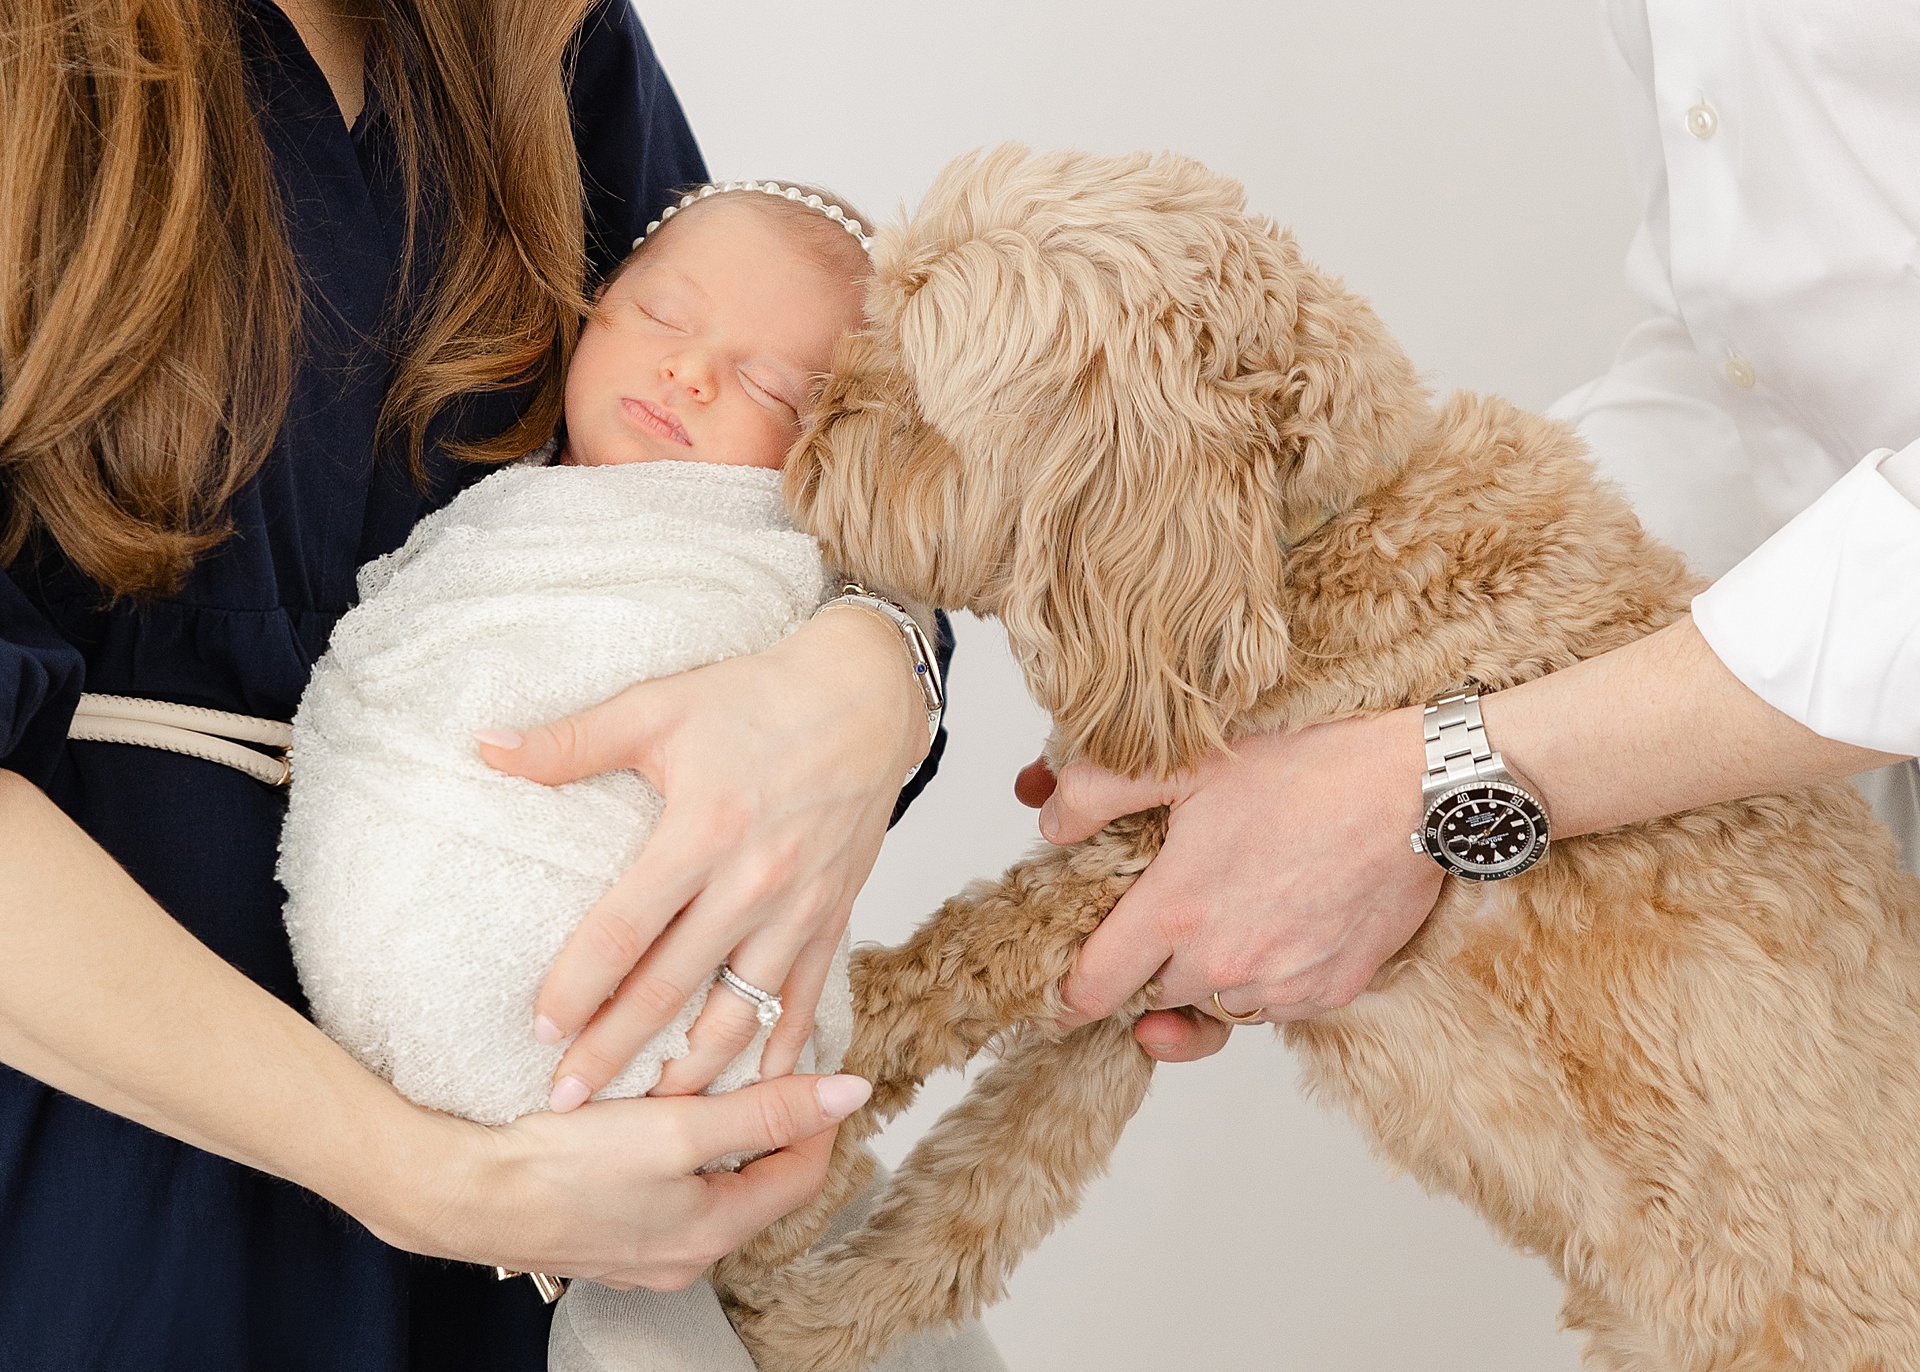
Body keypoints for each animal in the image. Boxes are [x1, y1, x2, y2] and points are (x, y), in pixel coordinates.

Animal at [706, 147, 1920, 1372]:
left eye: (915, 392)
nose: (809, 418)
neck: (1308, 539)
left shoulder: (1157, 872)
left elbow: (938, 975)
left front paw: (784, 1124)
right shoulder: (1141, 974)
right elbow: (990, 1181)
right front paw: (796, 1303)